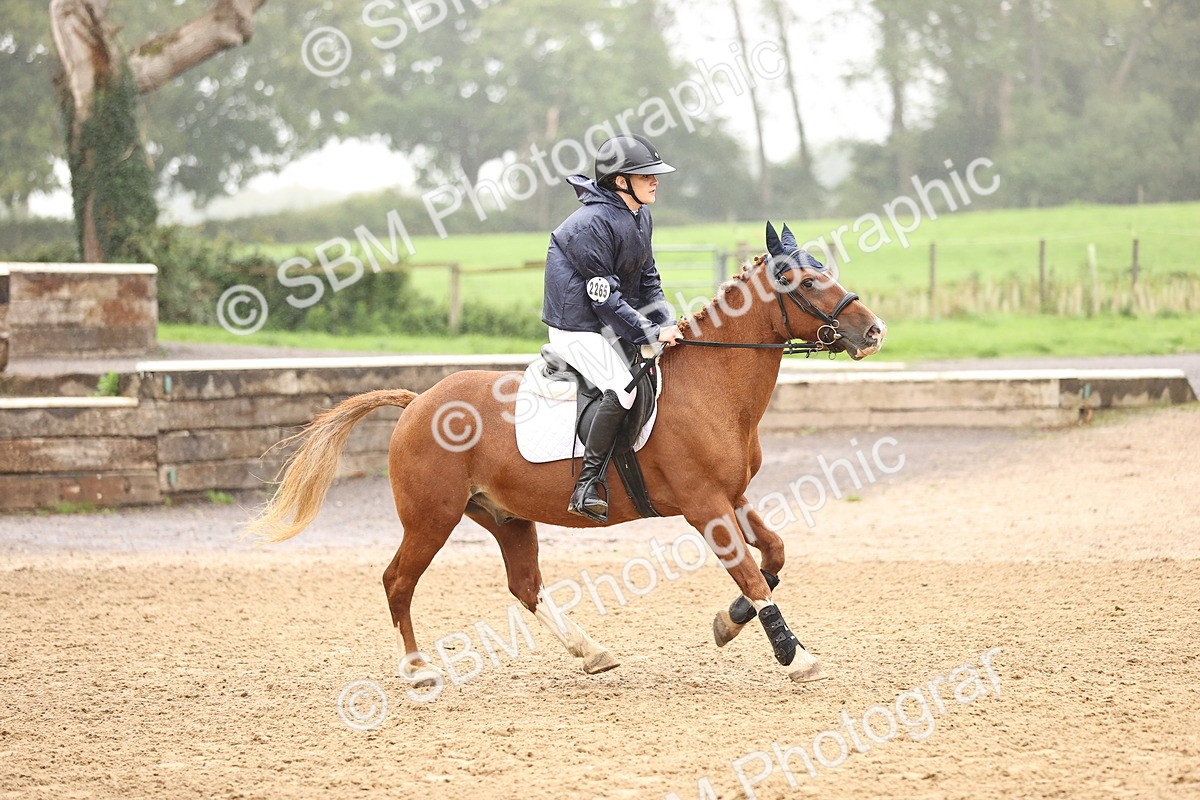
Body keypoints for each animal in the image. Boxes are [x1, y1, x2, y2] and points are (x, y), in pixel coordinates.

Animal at [247, 222, 886, 684]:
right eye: (805, 284)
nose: (874, 330)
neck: (714, 385)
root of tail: (418, 400)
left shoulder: (732, 497)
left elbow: (773, 555)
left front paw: (727, 624)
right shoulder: (705, 506)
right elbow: (753, 574)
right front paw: (796, 657)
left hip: (504, 517)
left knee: (524, 585)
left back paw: (591, 651)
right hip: (432, 518)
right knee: (397, 581)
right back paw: (417, 668)